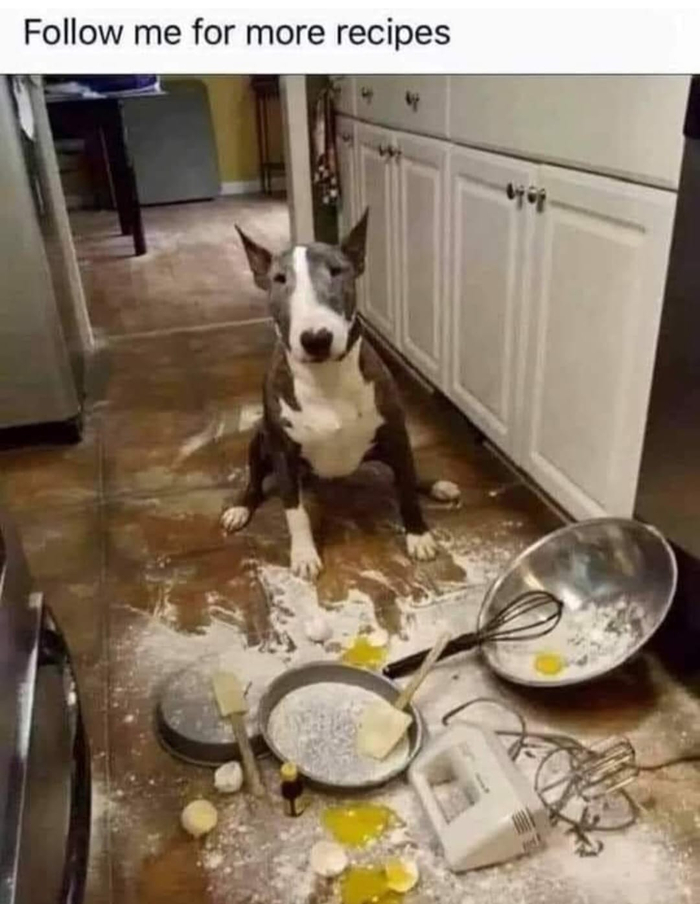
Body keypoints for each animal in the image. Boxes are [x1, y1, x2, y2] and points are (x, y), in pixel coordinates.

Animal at [220, 210, 460, 579]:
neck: (326, 378)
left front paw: (418, 536)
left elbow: (406, 489)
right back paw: (240, 508)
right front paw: (304, 555)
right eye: (279, 279)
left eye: (337, 270)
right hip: (258, 438)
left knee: (405, 476)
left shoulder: (396, 435)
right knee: (255, 482)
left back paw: (438, 486)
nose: (316, 338)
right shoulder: (283, 452)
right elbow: (294, 510)